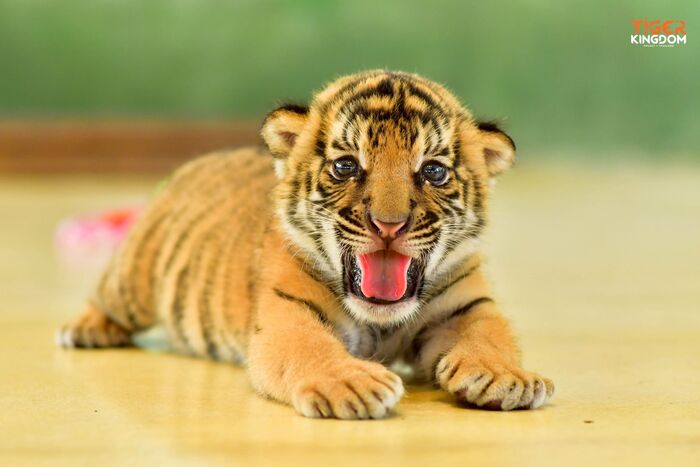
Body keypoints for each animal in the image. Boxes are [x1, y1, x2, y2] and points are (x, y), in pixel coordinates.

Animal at [57, 70, 555, 419]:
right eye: (346, 166)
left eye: (432, 171)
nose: (388, 224)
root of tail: (200, 161)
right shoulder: (286, 314)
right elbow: (311, 349)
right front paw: (352, 384)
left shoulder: (467, 304)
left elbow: (490, 334)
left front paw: (506, 378)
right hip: (135, 279)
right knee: (106, 296)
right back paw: (85, 330)